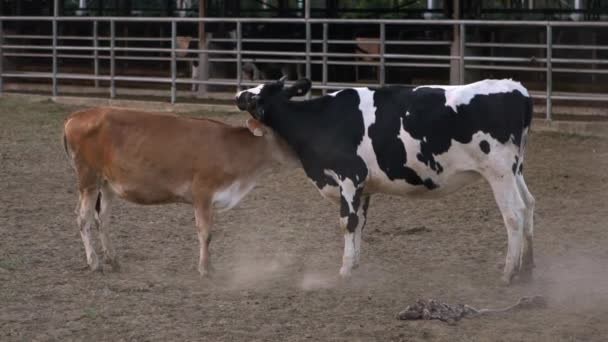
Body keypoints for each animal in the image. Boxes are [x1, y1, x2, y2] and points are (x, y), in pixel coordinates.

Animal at [62, 106, 296, 276]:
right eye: (284, 133)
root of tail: (77, 115)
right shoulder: (203, 192)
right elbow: (205, 233)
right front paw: (205, 269)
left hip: (107, 183)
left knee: (102, 218)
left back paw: (113, 259)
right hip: (89, 178)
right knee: (83, 217)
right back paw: (94, 262)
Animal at [235, 79, 536, 284]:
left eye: (255, 96)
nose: (238, 94)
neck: (319, 121)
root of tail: (517, 89)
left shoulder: (349, 175)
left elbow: (347, 222)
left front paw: (344, 270)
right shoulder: (363, 186)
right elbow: (360, 223)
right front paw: (355, 264)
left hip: (499, 172)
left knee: (513, 215)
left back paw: (509, 272)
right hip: (516, 169)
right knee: (529, 205)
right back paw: (528, 267)